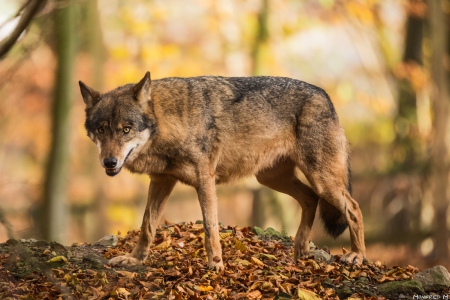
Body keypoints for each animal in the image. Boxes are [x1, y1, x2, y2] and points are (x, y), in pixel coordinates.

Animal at [78, 72, 366, 270]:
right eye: (101, 130)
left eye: (126, 129)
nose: (109, 162)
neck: (168, 122)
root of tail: (324, 95)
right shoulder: (162, 181)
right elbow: (147, 224)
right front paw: (134, 259)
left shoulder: (205, 180)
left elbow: (210, 227)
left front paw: (215, 265)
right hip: (271, 178)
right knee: (310, 199)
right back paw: (299, 252)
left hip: (320, 179)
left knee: (353, 207)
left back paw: (357, 255)